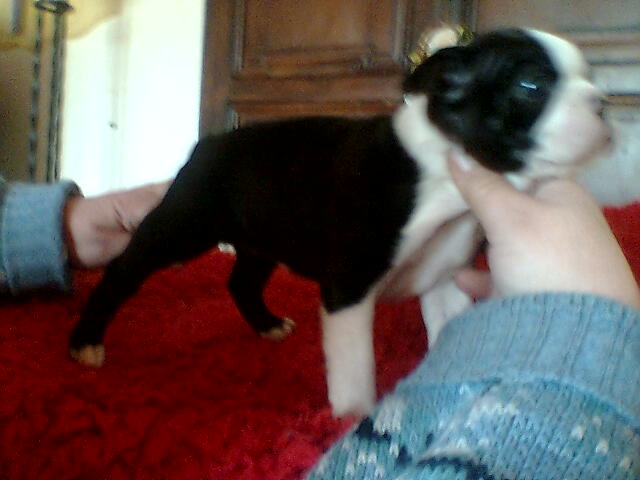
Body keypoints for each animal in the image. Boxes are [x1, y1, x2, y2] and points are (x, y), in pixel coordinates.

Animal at [69, 27, 610, 417]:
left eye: (591, 75)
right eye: (531, 86)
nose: (603, 102)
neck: (442, 179)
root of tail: (211, 143)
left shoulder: (444, 276)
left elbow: (448, 327)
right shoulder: (349, 288)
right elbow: (355, 368)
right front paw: (352, 418)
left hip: (264, 238)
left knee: (242, 280)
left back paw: (266, 324)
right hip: (185, 225)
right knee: (125, 269)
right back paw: (87, 340)